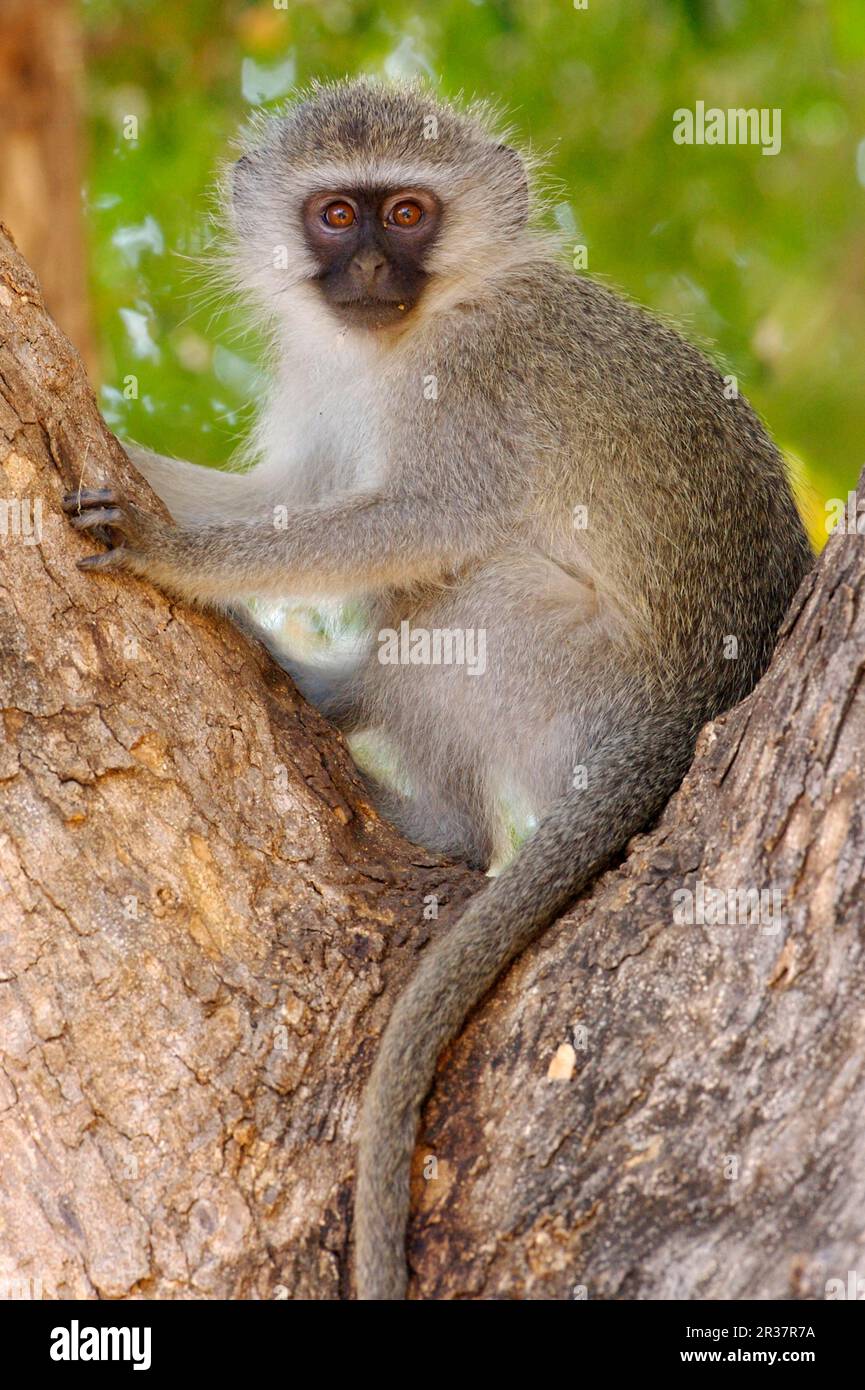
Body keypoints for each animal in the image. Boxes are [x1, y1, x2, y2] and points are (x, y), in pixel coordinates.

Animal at [64, 78, 817, 1301]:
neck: (411, 331)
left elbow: (425, 520)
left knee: (458, 600)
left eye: (408, 212)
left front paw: (174, 558)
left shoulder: (472, 378)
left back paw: (391, 769)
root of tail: (677, 724)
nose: (372, 264)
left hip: (570, 672)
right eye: (338, 215)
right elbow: (291, 489)